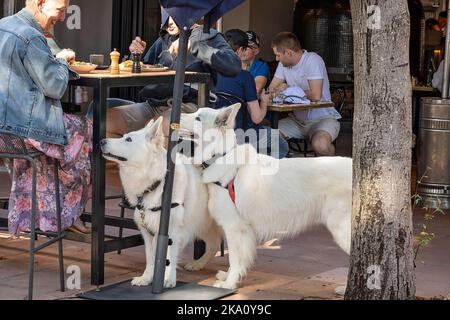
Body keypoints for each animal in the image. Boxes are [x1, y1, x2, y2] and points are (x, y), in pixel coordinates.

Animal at [101, 117, 222, 288]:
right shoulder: (148, 233)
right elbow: (151, 259)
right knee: (214, 245)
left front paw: (168, 279)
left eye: (128, 139)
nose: (101, 141)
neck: (157, 182)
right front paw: (146, 278)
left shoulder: (171, 232)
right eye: (123, 136)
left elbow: (169, 257)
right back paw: (197, 264)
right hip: (203, 224)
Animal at [179, 104, 352, 290]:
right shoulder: (240, 231)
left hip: (341, 229)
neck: (220, 156)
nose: (177, 113)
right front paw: (229, 277)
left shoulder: (235, 227)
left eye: (198, 117)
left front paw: (229, 284)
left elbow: (234, 259)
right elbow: (237, 260)